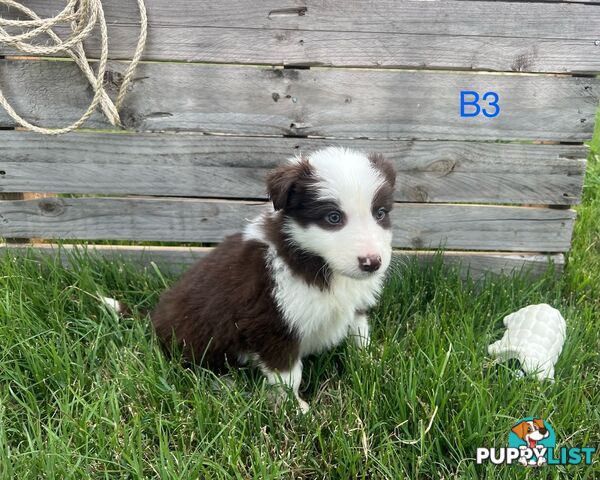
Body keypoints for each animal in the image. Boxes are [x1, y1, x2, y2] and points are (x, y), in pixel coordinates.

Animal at [108, 147, 398, 412]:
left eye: (380, 213)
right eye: (333, 217)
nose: (372, 263)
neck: (316, 262)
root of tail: (154, 318)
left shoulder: (355, 306)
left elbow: (360, 335)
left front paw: (371, 365)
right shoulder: (270, 322)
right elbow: (289, 376)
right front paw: (297, 410)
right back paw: (224, 384)